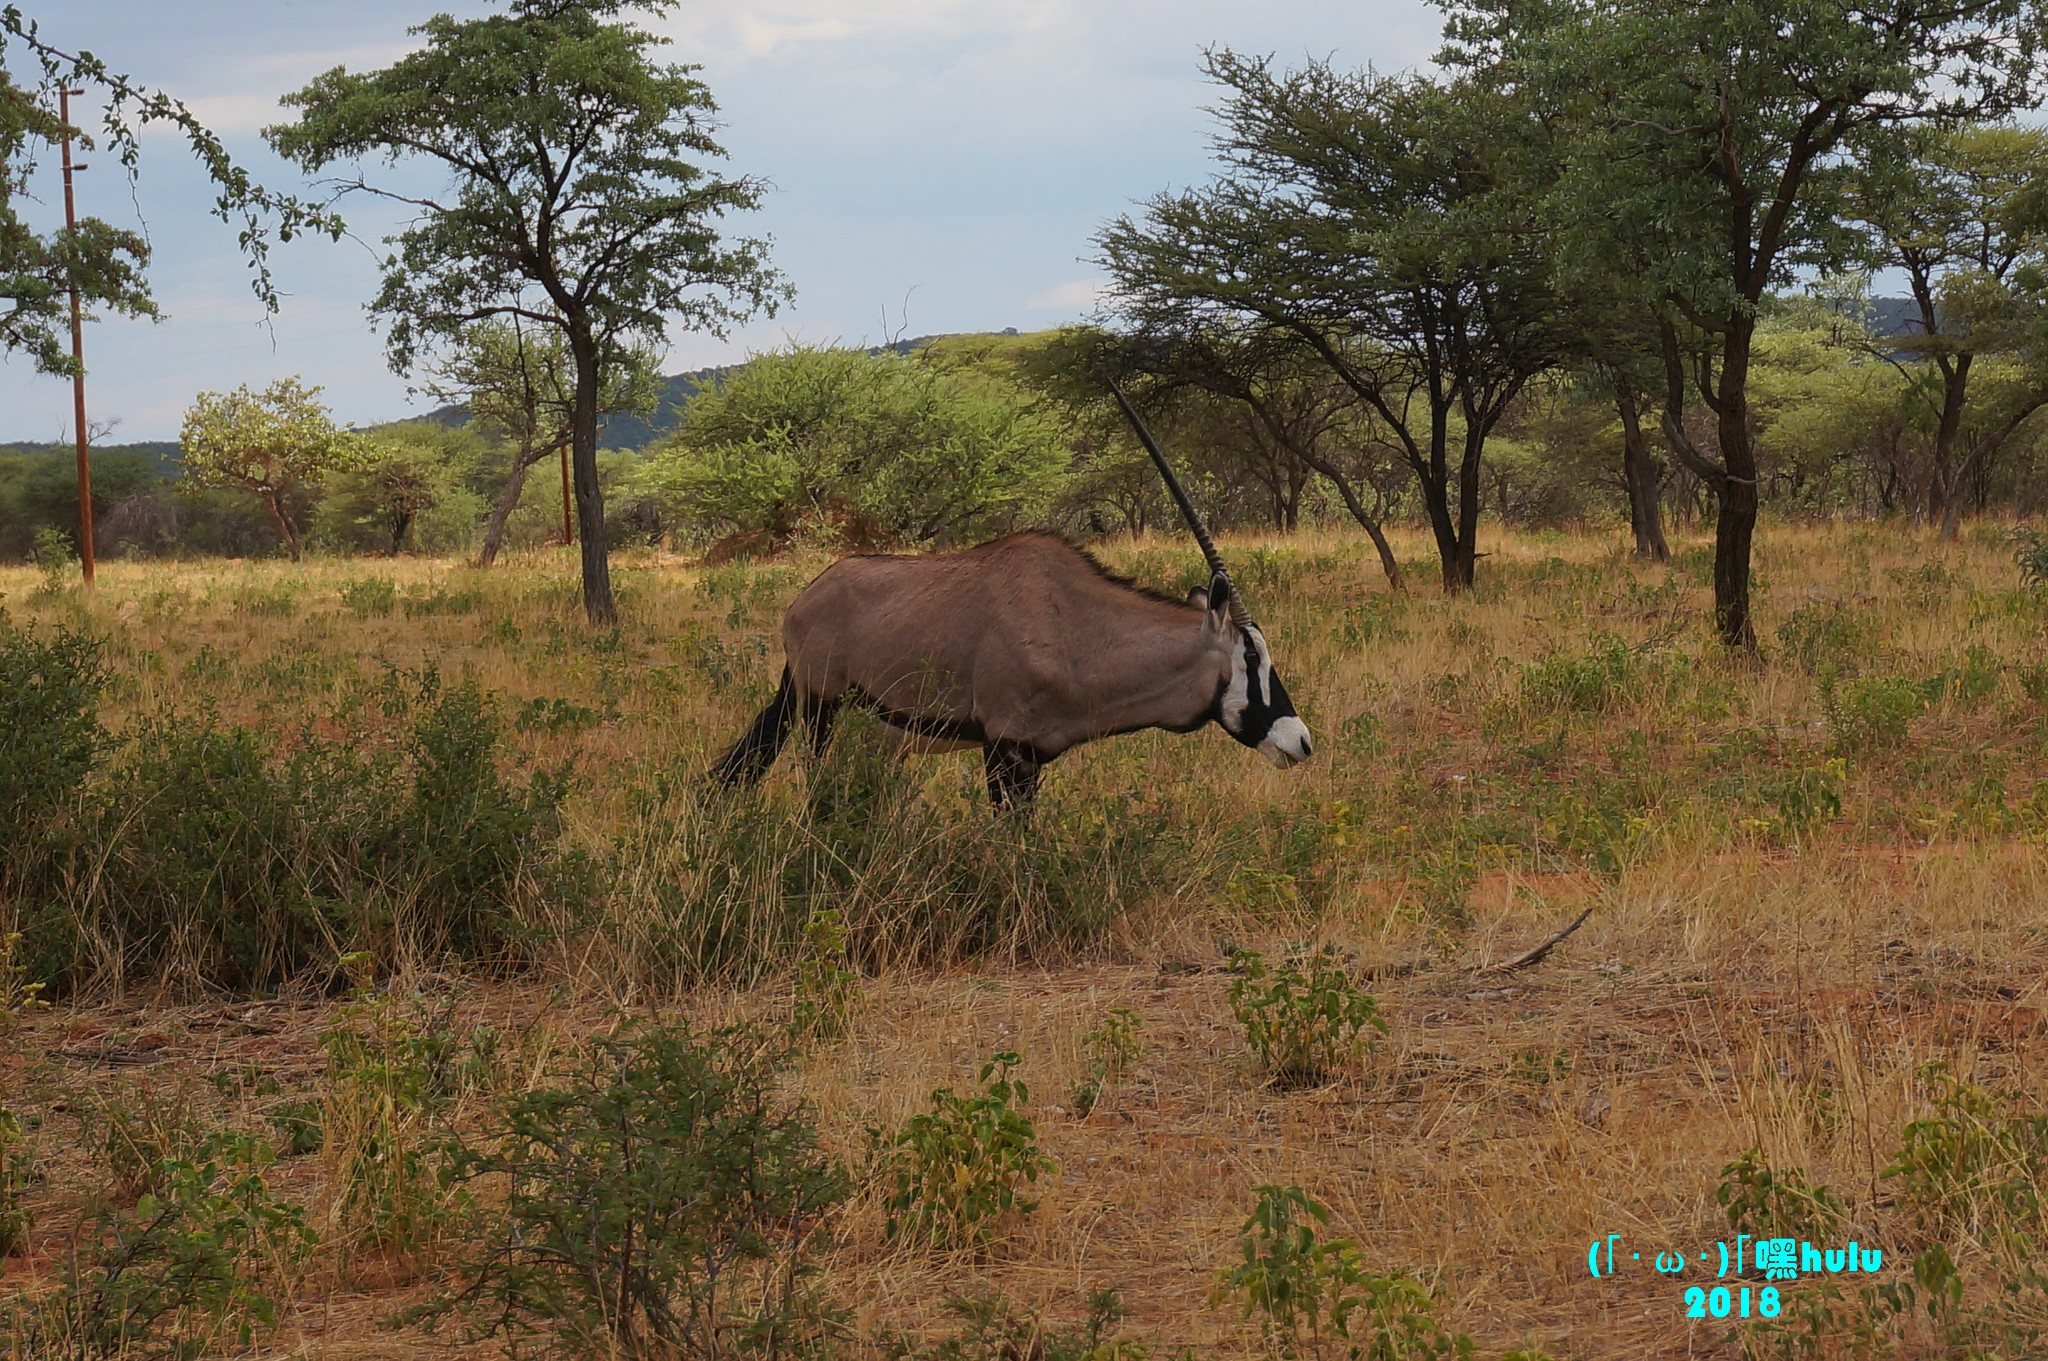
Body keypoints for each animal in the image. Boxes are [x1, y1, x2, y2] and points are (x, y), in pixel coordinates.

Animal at [708, 382, 1310, 802]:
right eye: (1250, 658)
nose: (1300, 742)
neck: (1075, 628)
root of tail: (806, 598)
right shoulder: (1004, 751)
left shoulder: (1033, 759)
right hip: (820, 711)